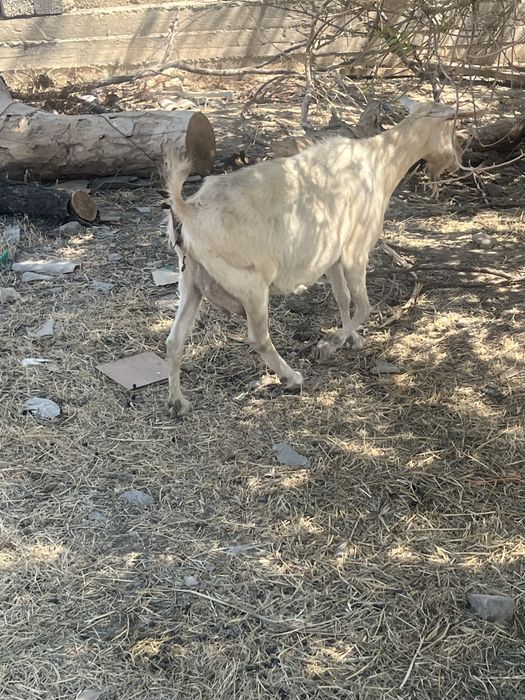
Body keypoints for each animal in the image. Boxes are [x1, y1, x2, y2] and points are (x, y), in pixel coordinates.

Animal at [164, 98, 473, 416]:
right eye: (454, 129)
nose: (456, 162)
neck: (379, 162)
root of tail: (187, 210)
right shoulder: (355, 251)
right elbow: (364, 306)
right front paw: (330, 345)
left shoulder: (332, 257)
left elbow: (343, 299)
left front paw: (352, 339)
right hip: (249, 284)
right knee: (259, 338)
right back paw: (292, 378)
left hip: (191, 281)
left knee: (174, 340)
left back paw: (178, 402)